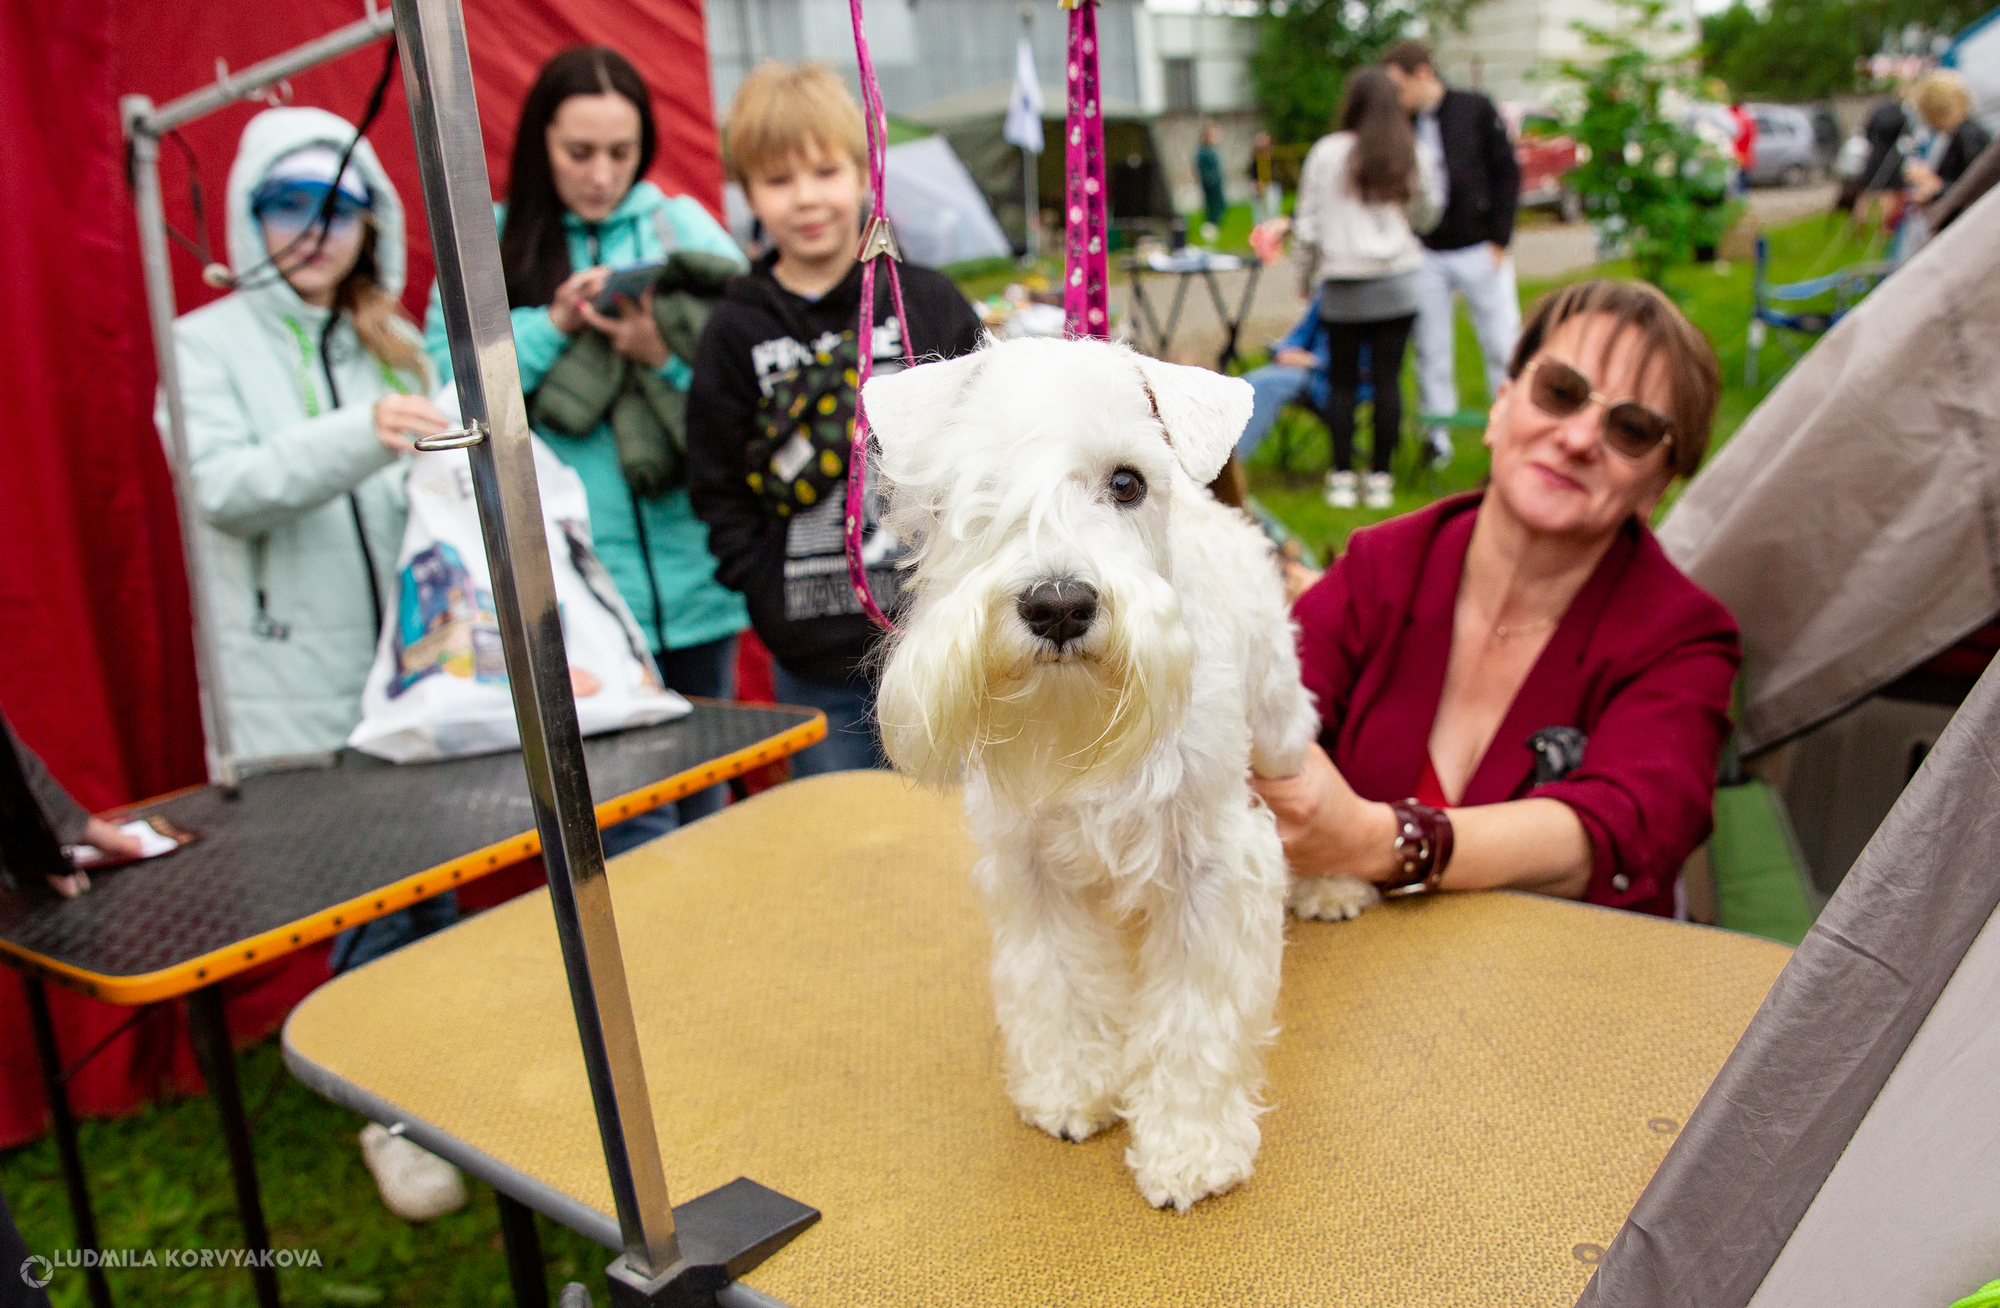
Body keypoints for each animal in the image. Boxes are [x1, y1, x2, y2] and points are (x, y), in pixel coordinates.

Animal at [860, 334, 1376, 1216]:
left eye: (1127, 482)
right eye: (976, 484)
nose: (1058, 605)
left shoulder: (1212, 864)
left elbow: (1197, 1021)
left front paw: (1190, 1147)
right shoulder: (1029, 865)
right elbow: (1057, 984)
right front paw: (1071, 1089)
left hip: (1281, 725)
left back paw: (1332, 885)